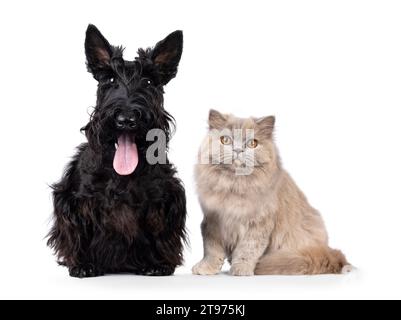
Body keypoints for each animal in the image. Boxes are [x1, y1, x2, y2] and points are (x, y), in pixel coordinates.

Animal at [47, 25, 186, 278]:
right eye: (110, 79)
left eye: (149, 81)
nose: (126, 120)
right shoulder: (76, 201)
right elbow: (80, 231)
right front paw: (82, 264)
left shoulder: (164, 198)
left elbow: (159, 231)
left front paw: (158, 264)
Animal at [192, 110, 352, 276]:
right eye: (226, 140)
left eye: (252, 143)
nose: (238, 150)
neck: (235, 185)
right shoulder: (213, 221)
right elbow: (212, 249)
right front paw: (206, 268)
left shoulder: (259, 223)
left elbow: (247, 249)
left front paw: (241, 269)